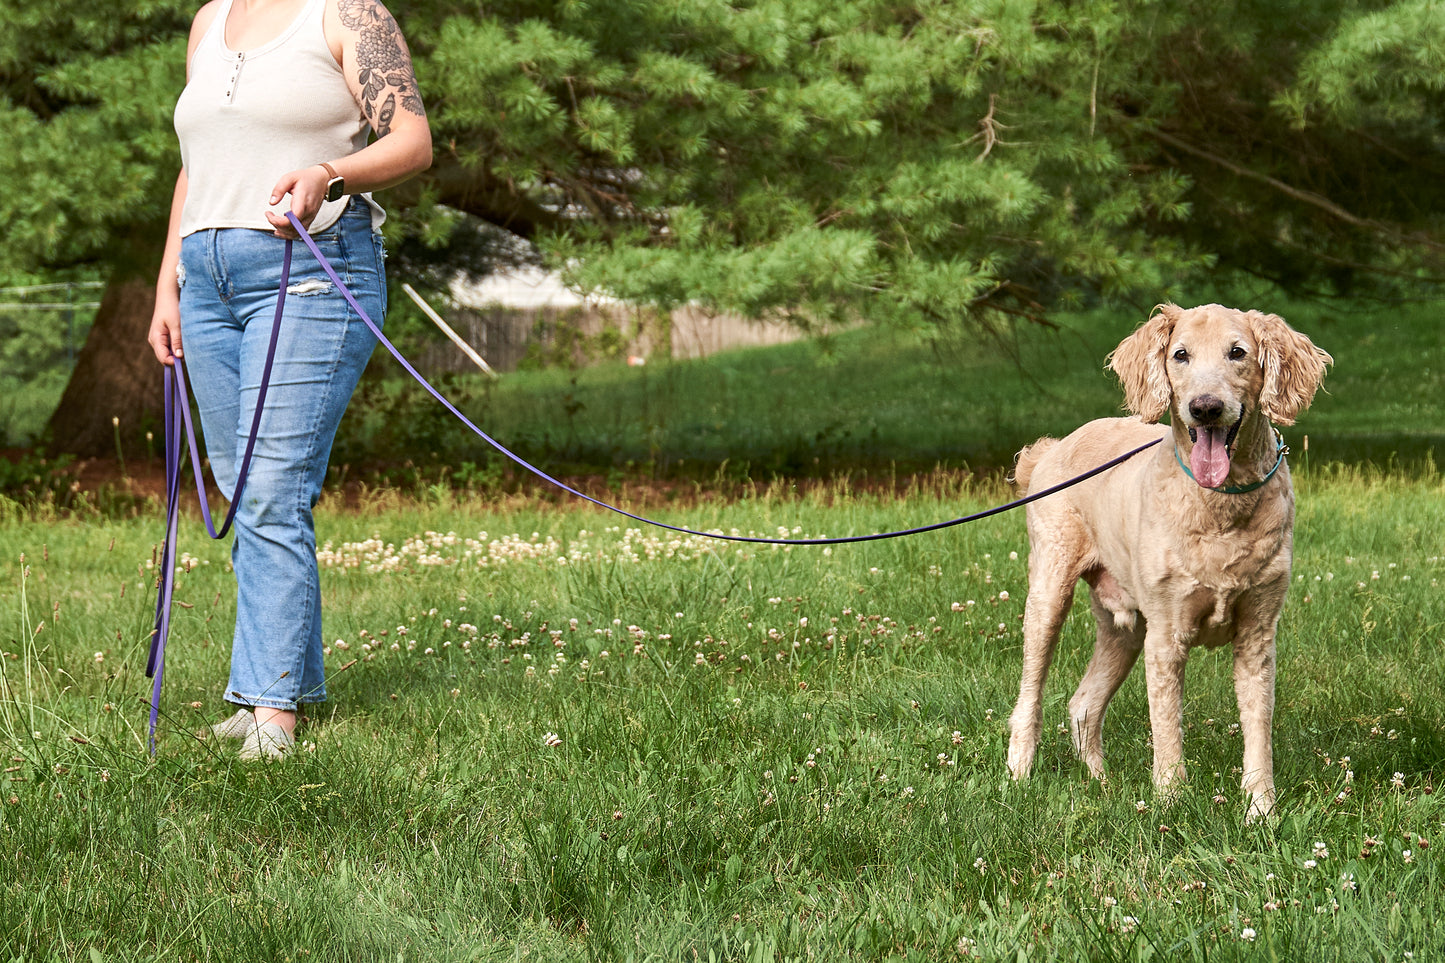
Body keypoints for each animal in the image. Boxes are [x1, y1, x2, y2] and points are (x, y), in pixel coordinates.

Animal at [1005, 302, 1329, 815]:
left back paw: (1101, 784)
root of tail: (1052, 449)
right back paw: (1019, 774)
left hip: (1125, 627)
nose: (1205, 407)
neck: (1220, 503)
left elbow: (1258, 729)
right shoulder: (1166, 635)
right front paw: (1170, 801)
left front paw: (1261, 809)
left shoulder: (1258, 635)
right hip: (1049, 594)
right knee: (1029, 696)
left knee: (1082, 704)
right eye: (1180, 355)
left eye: (1238, 352)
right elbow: (1167, 727)